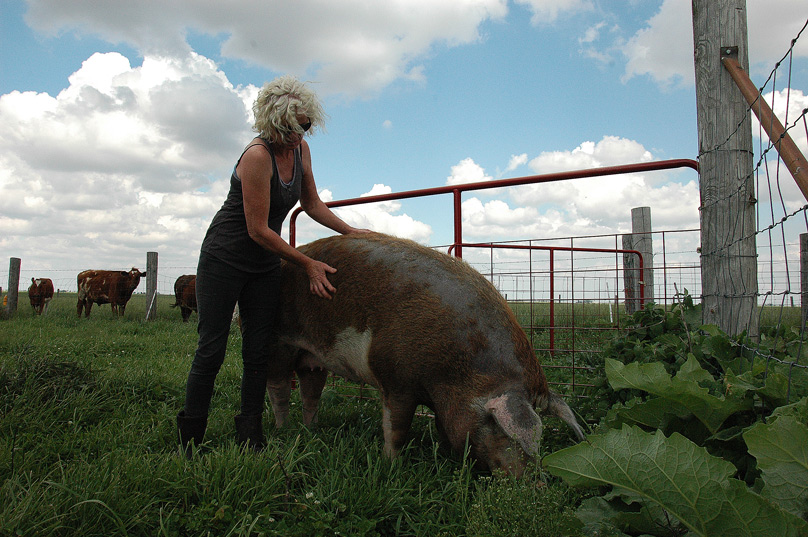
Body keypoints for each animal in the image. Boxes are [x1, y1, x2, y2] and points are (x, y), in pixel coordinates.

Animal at [266, 233, 585, 476]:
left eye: (541, 439)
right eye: (501, 430)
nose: (535, 483)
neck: (456, 373)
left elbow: (444, 428)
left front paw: (445, 457)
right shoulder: (395, 380)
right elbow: (396, 427)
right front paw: (391, 466)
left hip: (313, 359)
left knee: (310, 391)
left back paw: (311, 429)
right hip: (279, 342)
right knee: (278, 388)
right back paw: (283, 430)